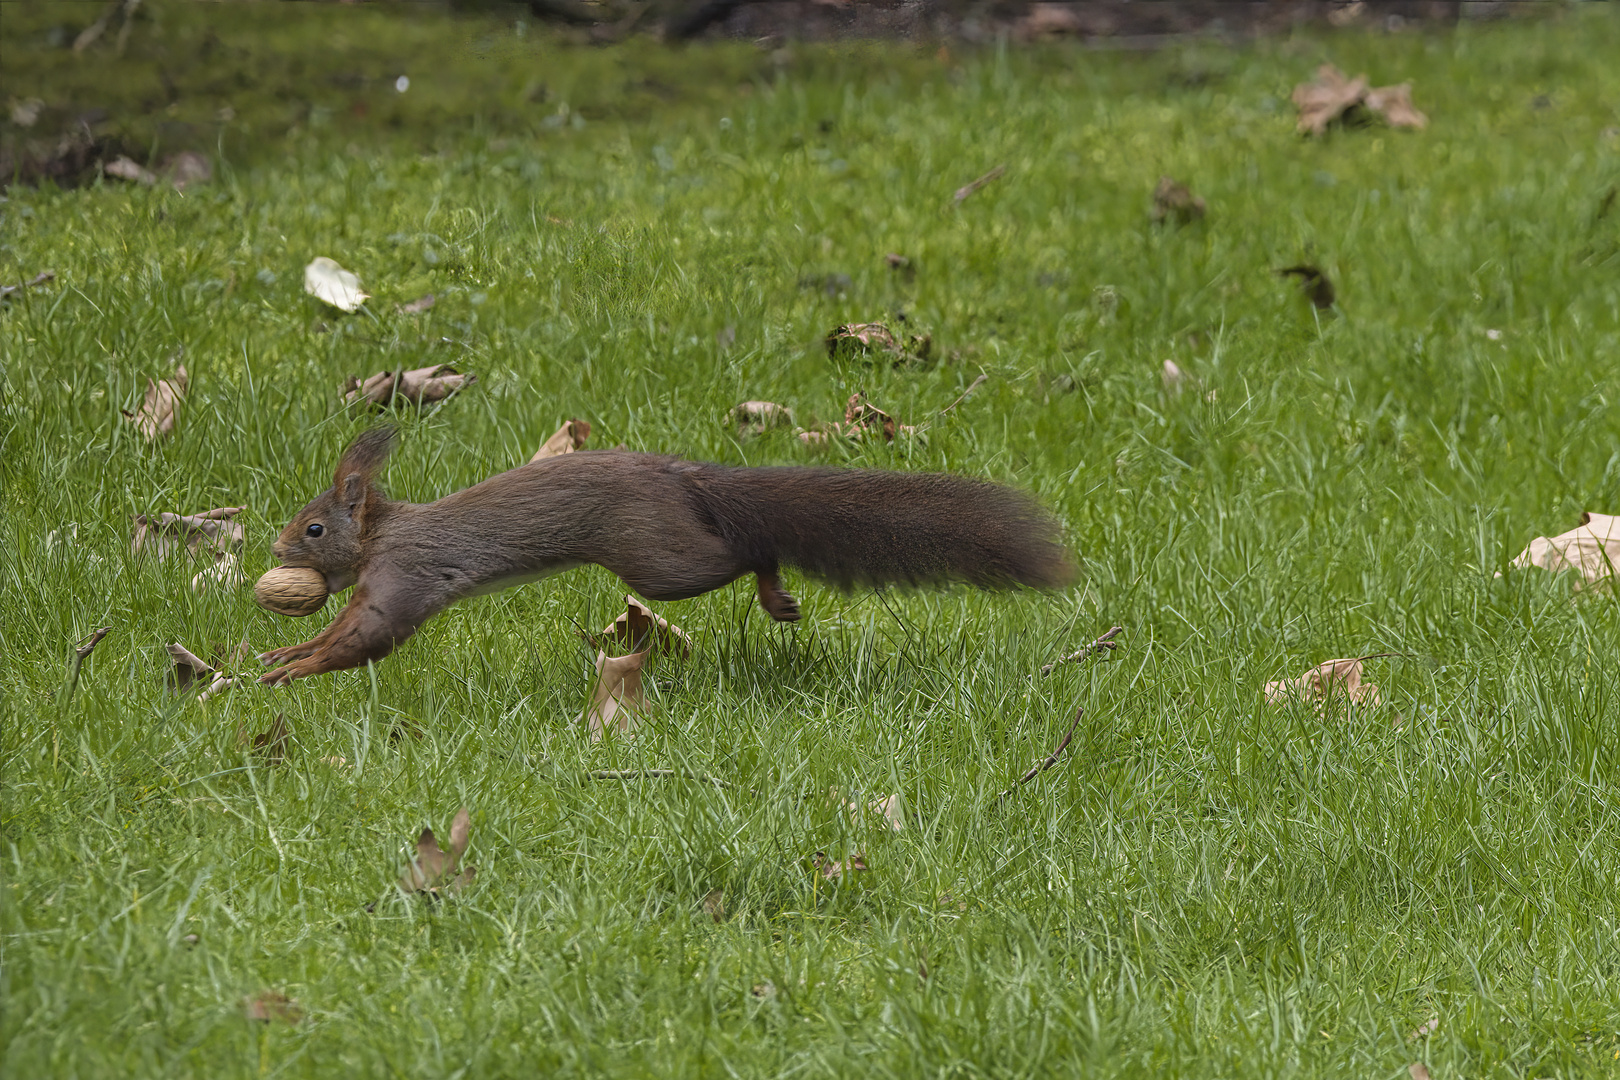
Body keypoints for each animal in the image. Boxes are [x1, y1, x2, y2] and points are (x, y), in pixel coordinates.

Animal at [259, 424, 1075, 683]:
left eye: (314, 528)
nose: (274, 546)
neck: (381, 534)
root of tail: (677, 474)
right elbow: (342, 629)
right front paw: (283, 653)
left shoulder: (406, 573)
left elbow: (366, 638)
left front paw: (290, 673)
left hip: (656, 560)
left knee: (744, 552)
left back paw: (772, 588)